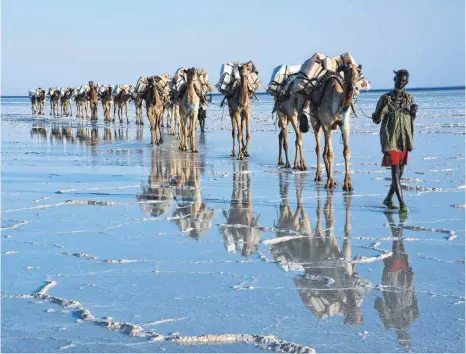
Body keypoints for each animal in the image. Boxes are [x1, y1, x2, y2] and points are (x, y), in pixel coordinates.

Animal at [312, 63, 362, 191]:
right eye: (347, 71)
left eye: (359, 71)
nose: (355, 87)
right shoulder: (327, 124)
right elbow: (331, 154)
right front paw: (329, 182)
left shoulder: (344, 124)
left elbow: (346, 151)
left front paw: (348, 184)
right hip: (316, 123)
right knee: (319, 148)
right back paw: (319, 176)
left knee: (324, 151)